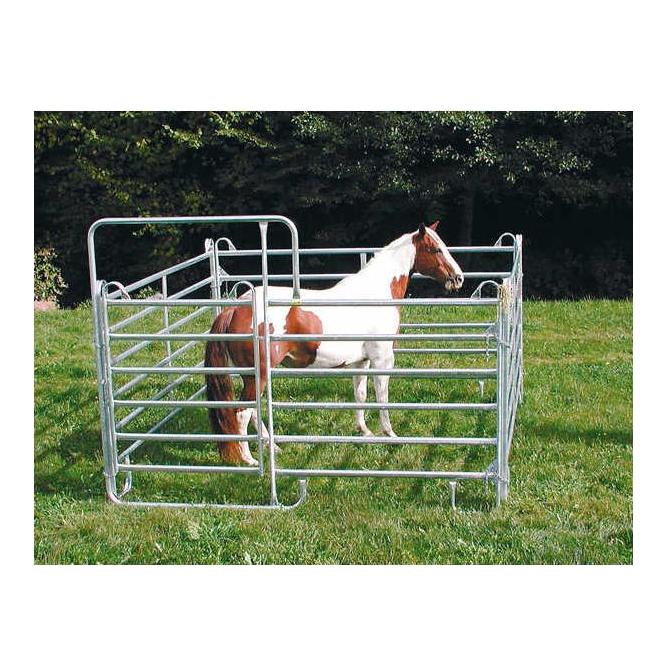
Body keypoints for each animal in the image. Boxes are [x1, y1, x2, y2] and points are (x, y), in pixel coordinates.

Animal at [205, 221, 464, 465]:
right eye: (435, 249)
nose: (458, 278)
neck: (373, 295)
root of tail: (236, 307)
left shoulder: (362, 362)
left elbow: (360, 395)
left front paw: (365, 432)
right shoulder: (382, 359)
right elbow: (382, 398)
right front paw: (390, 435)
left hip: (253, 376)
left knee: (253, 413)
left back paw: (273, 447)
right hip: (257, 376)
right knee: (242, 413)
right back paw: (249, 460)